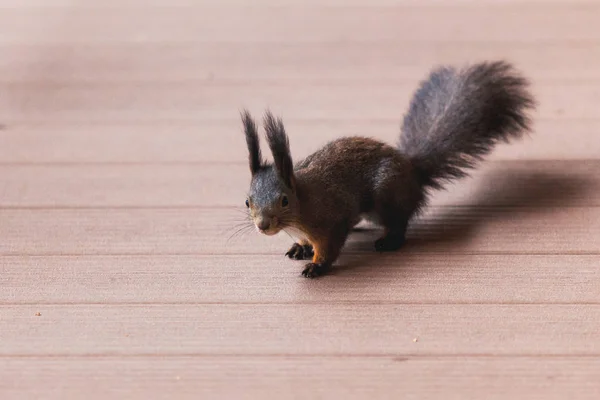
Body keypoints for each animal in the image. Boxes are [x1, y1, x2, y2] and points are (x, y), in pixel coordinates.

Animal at [239, 60, 536, 278]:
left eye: (284, 200)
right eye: (247, 201)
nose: (262, 225)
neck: (303, 201)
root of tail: (412, 170)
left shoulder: (329, 221)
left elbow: (329, 247)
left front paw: (316, 265)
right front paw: (299, 248)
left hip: (386, 196)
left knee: (399, 222)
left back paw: (388, 241)